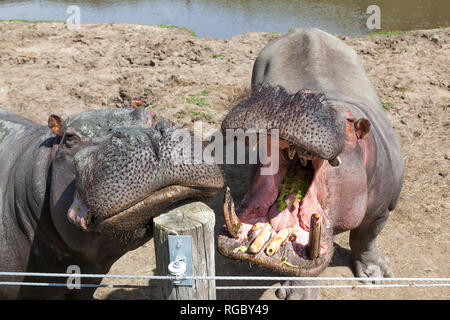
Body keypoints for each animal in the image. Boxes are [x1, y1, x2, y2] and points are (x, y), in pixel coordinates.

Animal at [218, 28, 404, 300]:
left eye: (349, 123)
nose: (293, 97)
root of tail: (304, 30)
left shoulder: (381, 210)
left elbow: (366, 237)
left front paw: (376, 276)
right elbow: (301, 268)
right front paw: (299, 296)